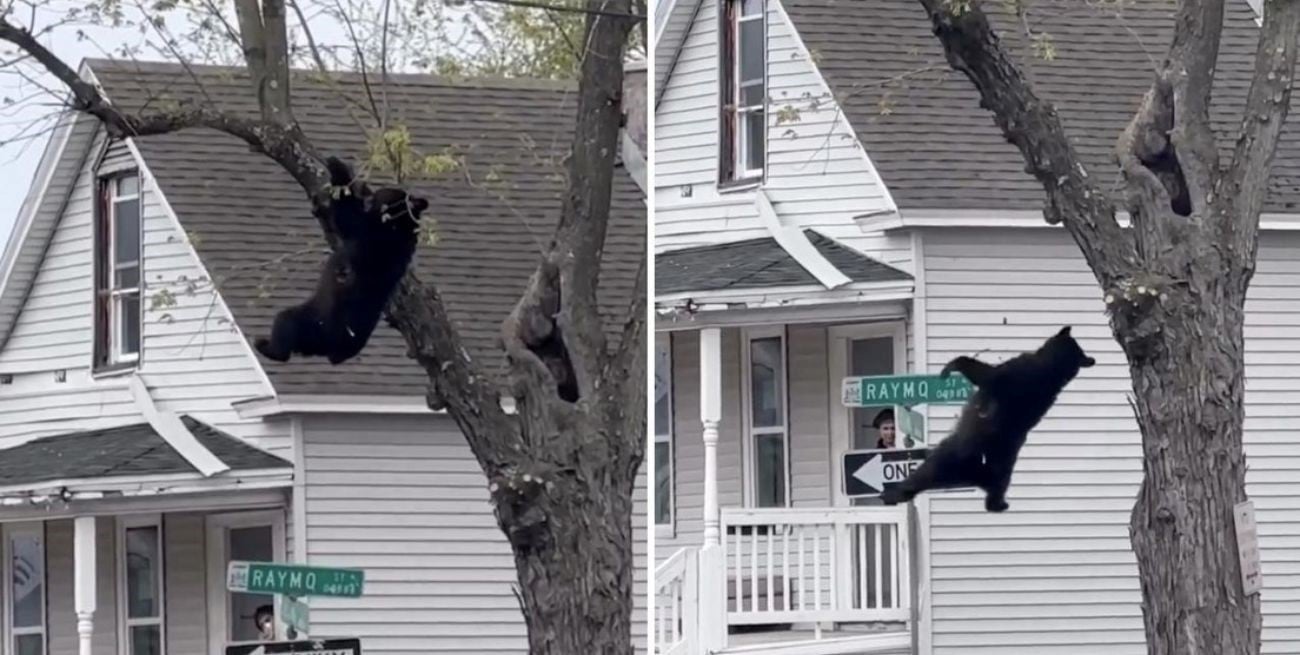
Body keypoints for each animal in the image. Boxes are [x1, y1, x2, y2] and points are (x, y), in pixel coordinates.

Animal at [254, 156, 430, 365]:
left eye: (379, 193)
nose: (368, 192)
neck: (398, 224)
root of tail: (330, 350)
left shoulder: (369, 233)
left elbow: (346, 216)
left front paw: (337, 166)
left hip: (311, 320)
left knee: (285, 323)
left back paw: (266, 346)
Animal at [879, 325, 1095, 512]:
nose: (1089, 358)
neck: (1053, 370)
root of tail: (977, 474)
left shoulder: (1013, 372)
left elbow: (984, 372)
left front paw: (950, 367)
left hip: (952, 456)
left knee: (926, 473)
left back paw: (895, 493)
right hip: (997, 467)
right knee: (998, 484)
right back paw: (999, 504)